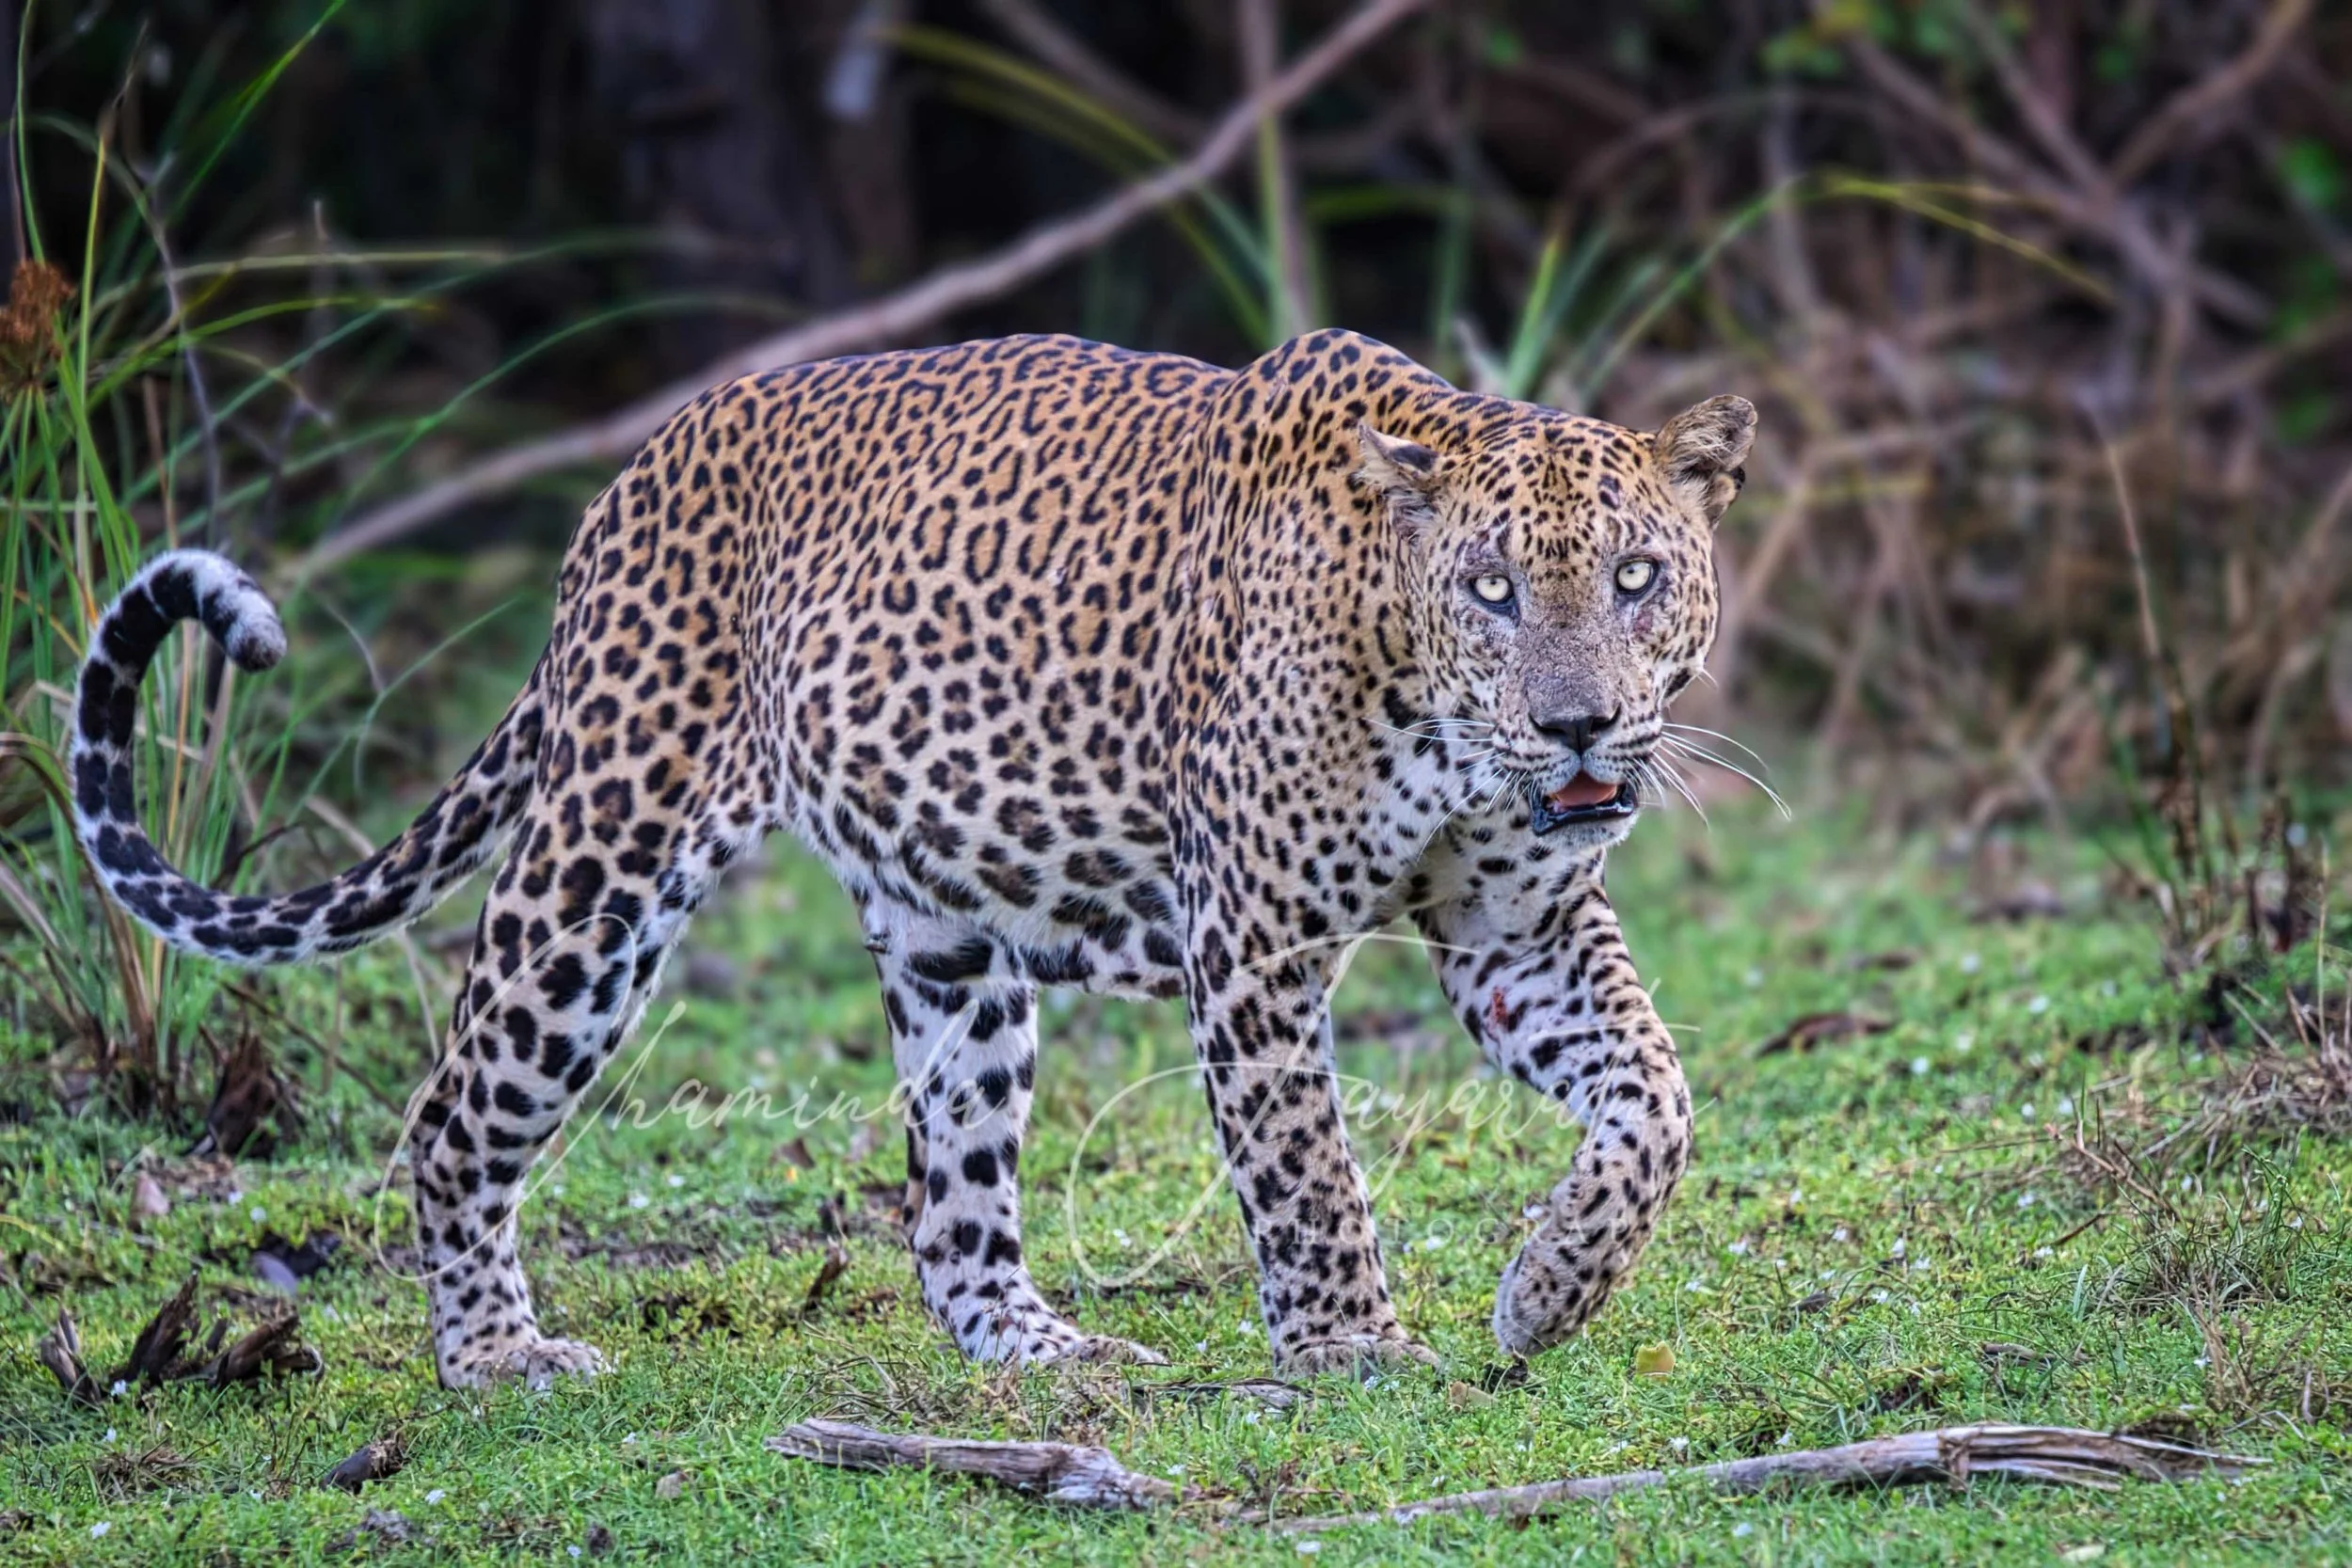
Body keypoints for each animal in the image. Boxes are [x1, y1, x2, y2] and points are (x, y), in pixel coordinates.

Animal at [72, 329, 1754, 1388]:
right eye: (1491, 590)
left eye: (1635, 575)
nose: (1580, 722)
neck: (1433, 702)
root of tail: (634, 473)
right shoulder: (1256, 944)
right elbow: (1308, 1167)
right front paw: (1352, 1344)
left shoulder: (1516, 932)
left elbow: (1657, 1101)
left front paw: (1549, 1287)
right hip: (602, 858)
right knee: (450, 1113)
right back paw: (495, 1357)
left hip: (953, 951)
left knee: (950, 1211)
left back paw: (1051, 1353)